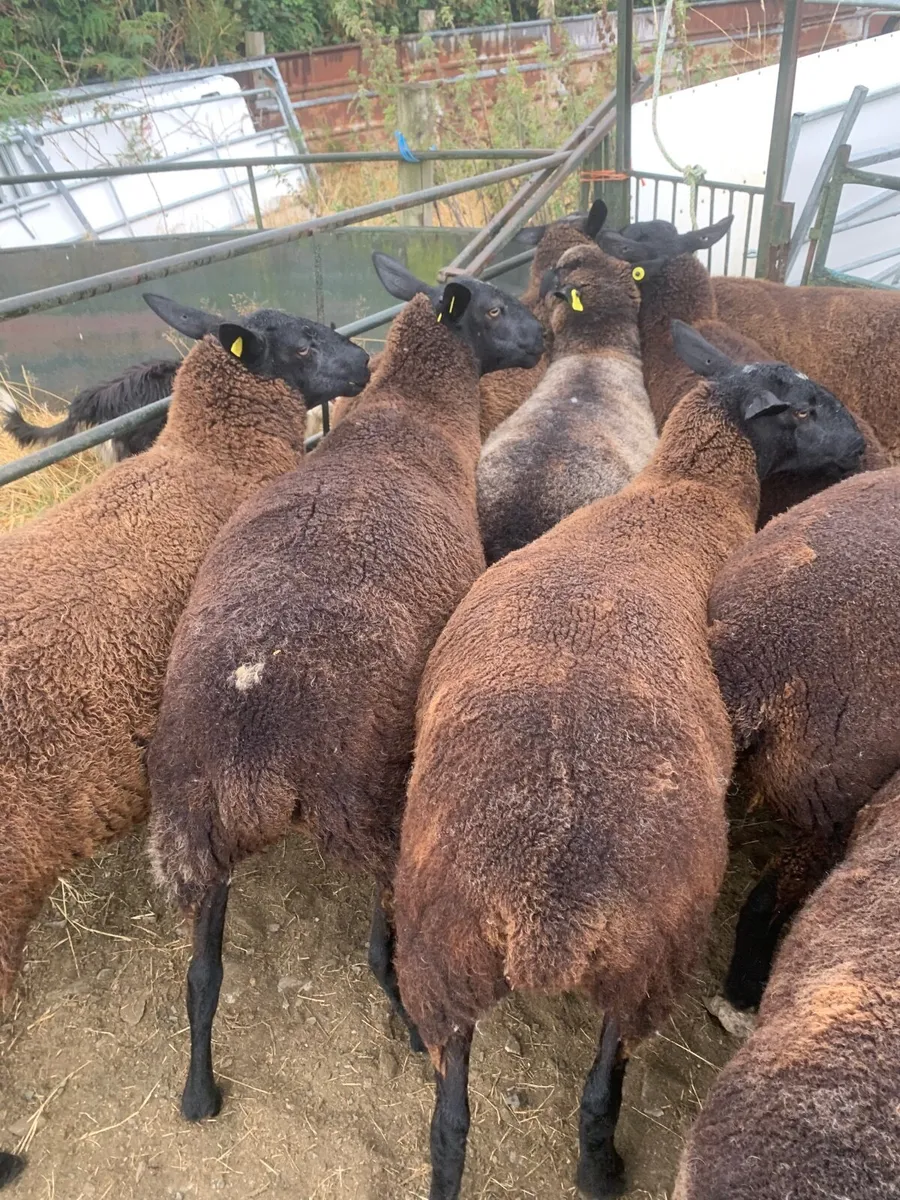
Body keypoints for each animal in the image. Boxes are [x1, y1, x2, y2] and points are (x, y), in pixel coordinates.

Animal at [145, 252, 544, 1125]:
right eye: (496, 309)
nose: (545, 335)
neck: (409, 413)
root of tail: (253, 757)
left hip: (198, 834)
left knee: (200, 977)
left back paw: (196, 1092)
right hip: (372, 809)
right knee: (377, 950)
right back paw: (410, 1031)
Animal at [392, 323, 866, 1200]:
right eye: (811, 404)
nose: (858, 448)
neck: (678, 493)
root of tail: (545, 913)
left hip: (444, 963)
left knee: (449, 1122)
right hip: (645, 966)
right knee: (597, 1093)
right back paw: (601, 1169)